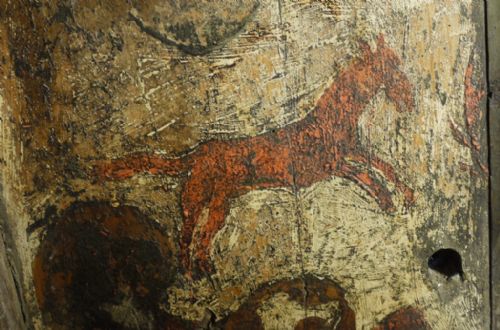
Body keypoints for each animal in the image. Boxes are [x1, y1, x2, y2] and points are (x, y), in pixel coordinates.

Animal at [94, 34, 414, 274]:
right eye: (391, 69)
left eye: (398, 64)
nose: (410, 99)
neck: (332, 121)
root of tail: (196, 154)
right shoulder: (329, 166)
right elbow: (367, 174)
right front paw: (389, 199)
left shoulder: (351, 153)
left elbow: (381, 165)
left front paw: (403, 197)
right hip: (204, 199)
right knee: (192, 233)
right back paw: (195, 270)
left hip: (214, 200)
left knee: (198, 234)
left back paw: (198, 269)